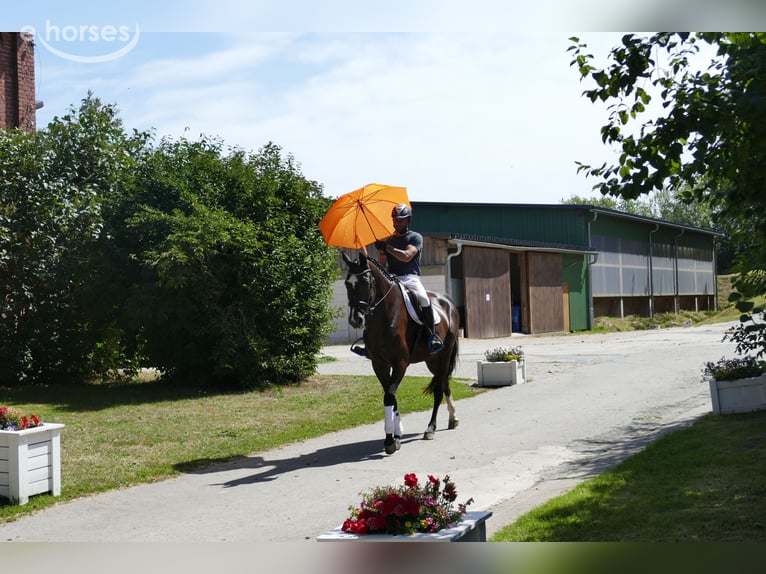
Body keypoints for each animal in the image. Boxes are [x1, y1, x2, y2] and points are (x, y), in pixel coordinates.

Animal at [341, 251, 461, 455]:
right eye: (347, 283)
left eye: (366, 281)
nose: (355, 320)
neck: (385, 316)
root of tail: (447, 302)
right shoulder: (379, 364)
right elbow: (391, 397)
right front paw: (396, 434)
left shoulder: (400, 363)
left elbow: (389, 396)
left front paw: (390, 440)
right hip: (432, 360)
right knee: (444, 383)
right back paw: (453, 418)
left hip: (444, 356)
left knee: (438, 390)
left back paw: (431, 428)